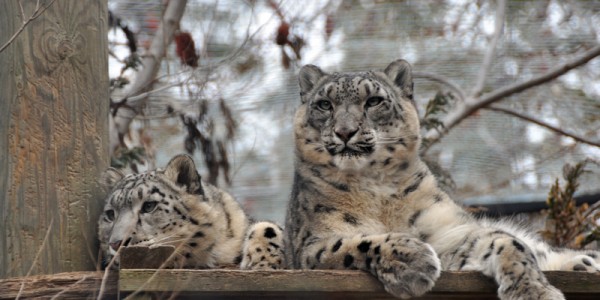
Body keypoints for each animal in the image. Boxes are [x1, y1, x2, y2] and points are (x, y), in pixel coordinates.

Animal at [284, 59, 600, 300]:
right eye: (325, 104)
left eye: (373, 101)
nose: (345, 131)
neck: (376, 190)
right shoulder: (312, 246)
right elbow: (354, 244)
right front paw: (410, 259)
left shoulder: (450, 232)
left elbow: (507, 242)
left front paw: (533, 291)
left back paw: (583, 263)